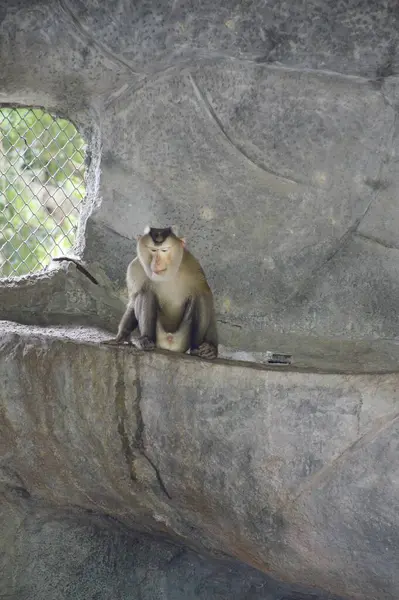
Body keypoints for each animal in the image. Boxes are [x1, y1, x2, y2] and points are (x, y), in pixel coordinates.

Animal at [105, 224, 219, 356]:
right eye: (153, 250)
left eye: (164, 250)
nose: (157, 262)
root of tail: (169, 343)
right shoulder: (135, 268)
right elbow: (133, 300)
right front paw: (121, 336)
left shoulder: (194, 267)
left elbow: (205, 295)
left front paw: (212, 347)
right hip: (160, 336)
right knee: (145, 293)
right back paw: (146, 340)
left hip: (182, 338)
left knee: (200, 296)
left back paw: (196, 348)